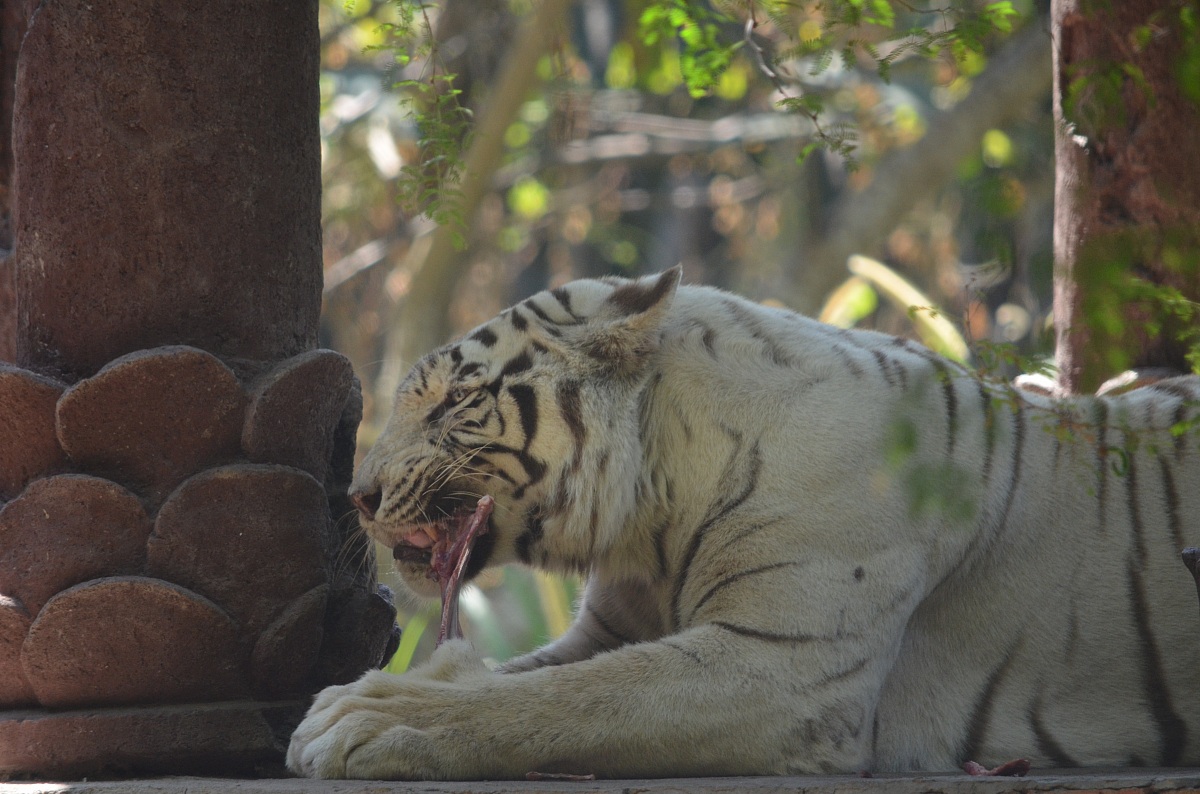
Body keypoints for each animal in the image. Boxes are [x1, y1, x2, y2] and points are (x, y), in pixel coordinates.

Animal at [288, 266, 1200, 780]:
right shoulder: (609, 630)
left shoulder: (784, 662)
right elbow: (532, 678)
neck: (650, 513)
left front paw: (368, 715)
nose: (358, 494)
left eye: (452, 403)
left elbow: (566, 700)